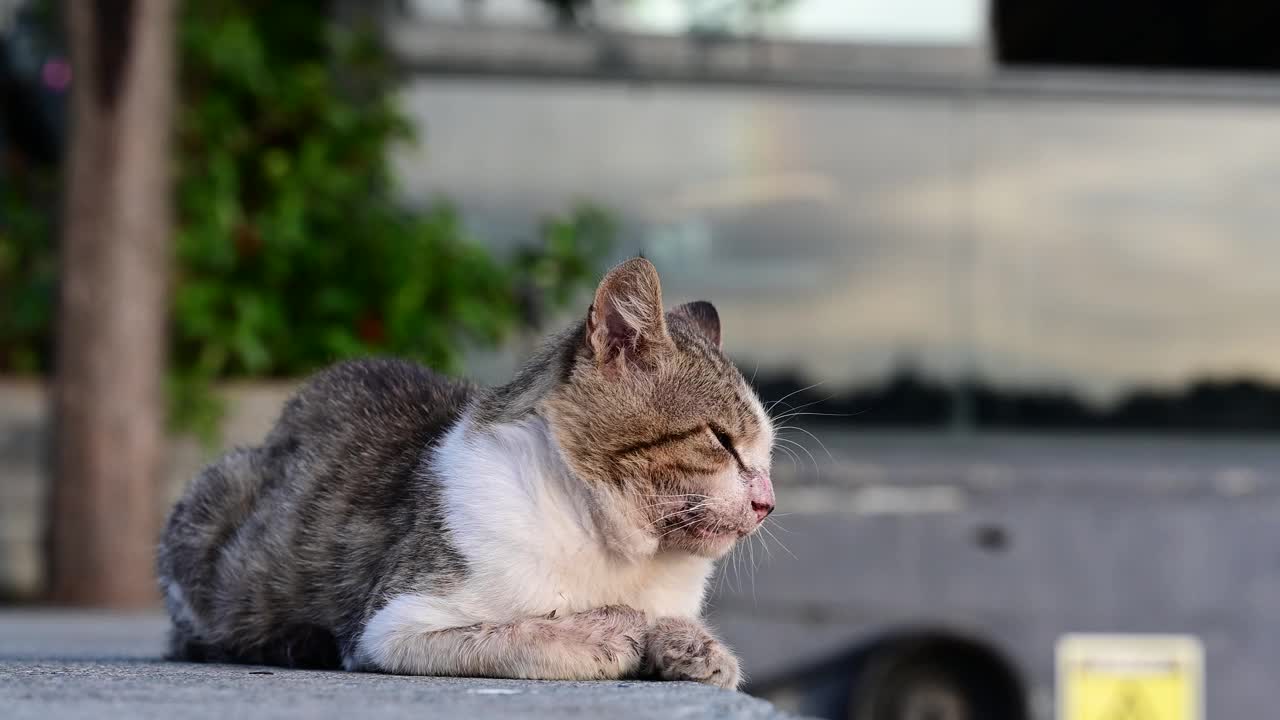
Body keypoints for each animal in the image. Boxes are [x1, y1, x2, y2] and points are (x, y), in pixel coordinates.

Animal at [154, 256, 773, 681]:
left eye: (767, 456)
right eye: (720, 440)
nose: (767, 502)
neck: (612, 550)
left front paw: (691, 644)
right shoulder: (391, 627)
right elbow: (507, 632)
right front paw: (600, 631)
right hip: (212, 503)